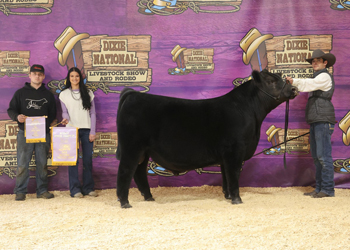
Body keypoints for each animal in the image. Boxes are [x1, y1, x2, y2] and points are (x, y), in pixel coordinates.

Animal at [115, 69, 298, 208]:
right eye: (271, 81)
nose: (294, 89)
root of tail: (133, 94)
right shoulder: (235, 151)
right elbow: (233, 175)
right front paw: (237, 199)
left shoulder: (225, 156)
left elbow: (225, 176)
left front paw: (227, 196)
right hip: (132, 147)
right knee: (125, 171)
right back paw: (125, 202)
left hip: (144, 151)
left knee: (139, 172)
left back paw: (149, 197)